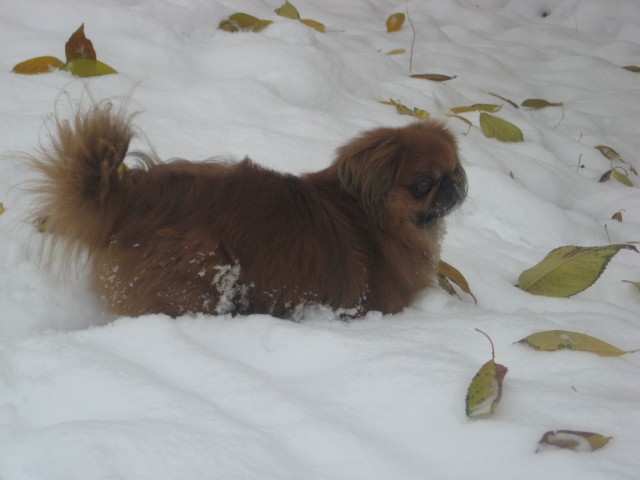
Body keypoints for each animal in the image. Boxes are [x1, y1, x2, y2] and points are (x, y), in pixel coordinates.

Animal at [30, 102, 466, 318]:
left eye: (455, 169)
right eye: (424, 183)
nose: (453, 184)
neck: (376, 219)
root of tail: (132, 196)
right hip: (205, 267)